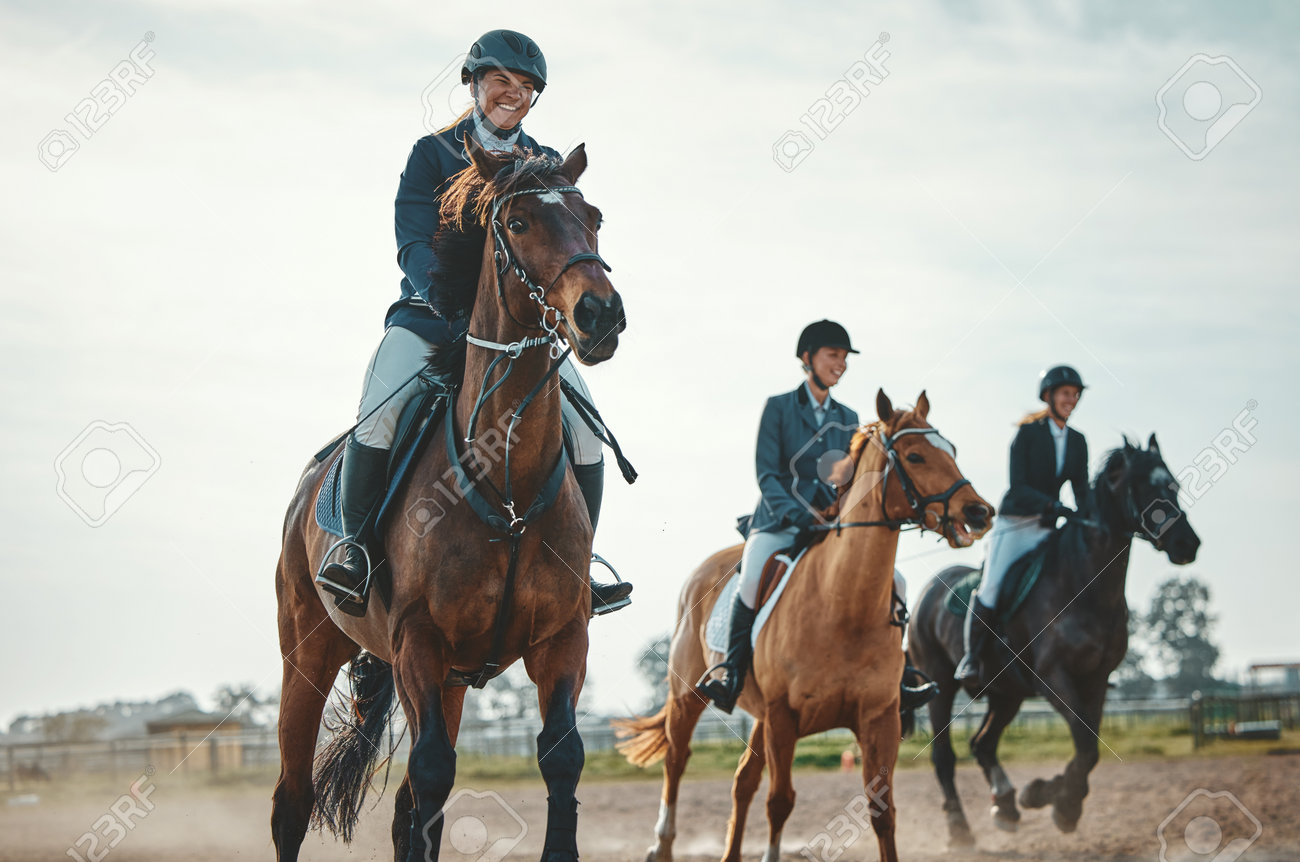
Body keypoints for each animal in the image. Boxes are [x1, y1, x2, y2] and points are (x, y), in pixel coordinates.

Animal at [270, 136, 624, 862]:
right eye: (518, 222)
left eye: (594, 218)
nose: (601, 315)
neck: (506, 483)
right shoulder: (418, 642)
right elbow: (433, 770)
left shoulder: (561, 638)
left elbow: (562, 758)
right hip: (308, 659)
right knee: (292, 802)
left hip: (455, 681)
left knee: (408, 806)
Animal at [613, 390, 987, 862]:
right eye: (915, 455)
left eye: (951, 449)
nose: (979, 512)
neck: (843, 606)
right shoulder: (783, 716)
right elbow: (780, 801)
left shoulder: (879, 716)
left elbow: (881, 810)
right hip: (690, 698)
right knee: (676, 762)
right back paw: (660, 845)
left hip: (759, 716)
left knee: (742, 781)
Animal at [909, 434, 1201, 847]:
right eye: (1145, 487)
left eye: (1173, 485)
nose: (1187, 545)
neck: (1085, 583)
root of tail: (927, 591)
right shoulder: (1053, 677)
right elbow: (1085, 743)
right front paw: (1056, 801)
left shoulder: (1096, 680)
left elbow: (1089, 747)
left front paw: (1056, 800)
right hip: (941, 683)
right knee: (944, 757)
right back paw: (959, 828)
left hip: (1007, 693)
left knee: (982, 744)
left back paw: (1006, 805)